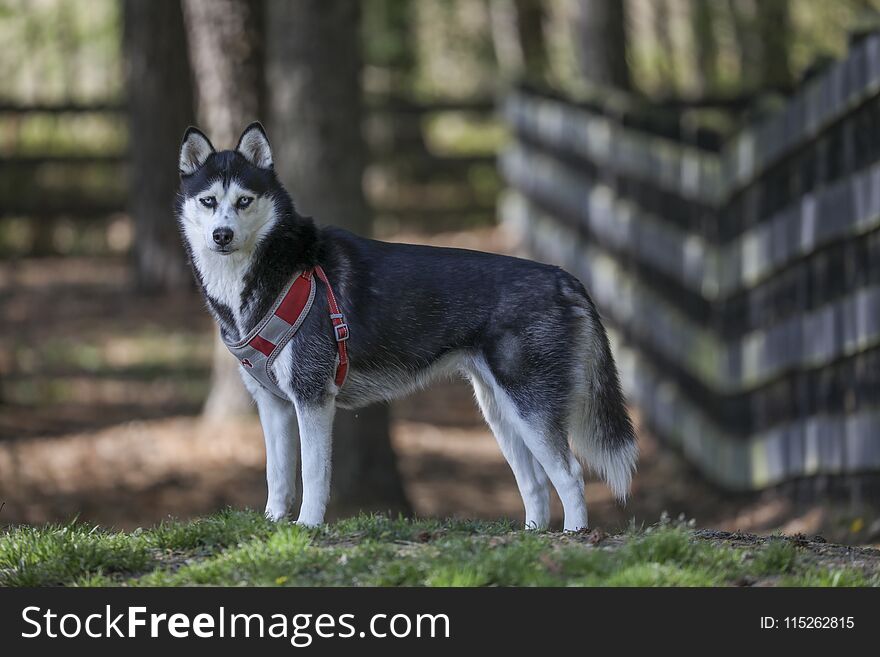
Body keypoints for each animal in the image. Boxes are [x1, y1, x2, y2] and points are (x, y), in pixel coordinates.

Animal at [175, 123, 636, 532]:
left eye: (245, 200)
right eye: (208, 201)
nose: (222, 235)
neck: (278, 271)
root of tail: (564, 277)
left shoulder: (312, 399)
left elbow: (314, 476)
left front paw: (308, 528)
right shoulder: (273, 405)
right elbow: (277, 475)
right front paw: (273, 526)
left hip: (531, 409)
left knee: (570, 475)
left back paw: (574, 535)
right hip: (501, 412)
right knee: (536, 483)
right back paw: (532, 536)